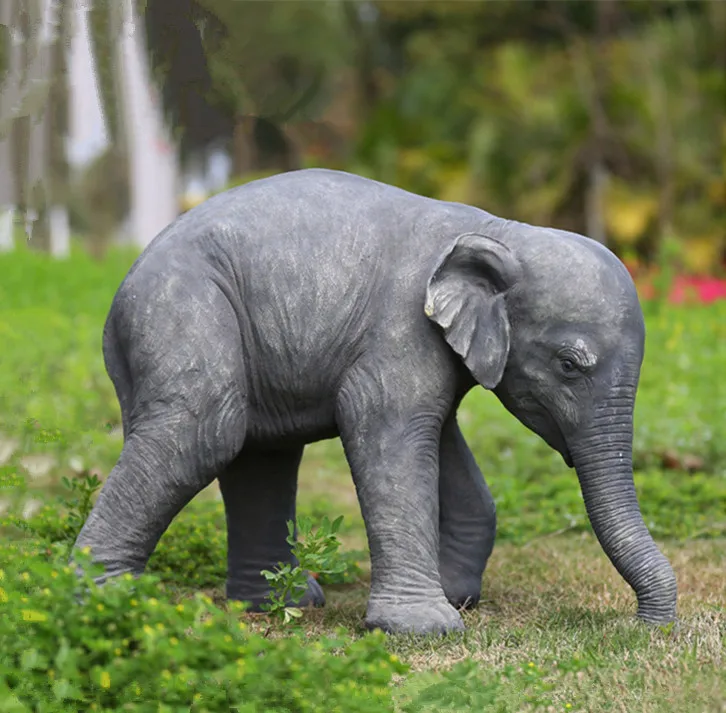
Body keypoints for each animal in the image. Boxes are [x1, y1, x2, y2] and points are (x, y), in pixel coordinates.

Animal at [73, 168, 677, 635]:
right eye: (569, 365)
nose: (644, 626)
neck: (497, 231)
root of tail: (117, 295)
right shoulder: (401, 327)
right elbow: (386, 431)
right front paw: (425, 628)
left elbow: (443, 445)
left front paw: (456, 598)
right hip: (182, 312)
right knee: (205, 433)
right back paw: (106, 602)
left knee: (257, 452)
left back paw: (280, 604)